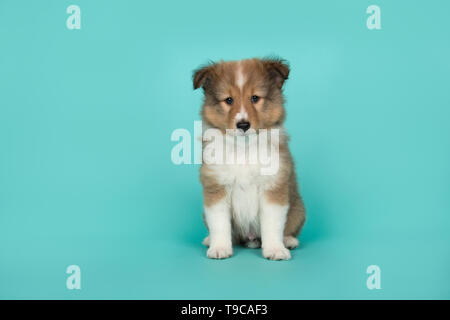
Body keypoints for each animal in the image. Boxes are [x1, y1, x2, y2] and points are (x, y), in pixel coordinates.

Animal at [193, 58, 306, 262]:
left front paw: (275, 250)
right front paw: (220, 248)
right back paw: (209, 239)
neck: (243, 149)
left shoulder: (273, 186)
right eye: (229, 100)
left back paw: (288, 240)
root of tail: (251, 238)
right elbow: (219, 223)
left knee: (288, 228)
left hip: (298, 209)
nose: (243, 125)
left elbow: (272, 223)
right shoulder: (216, 188)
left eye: (255, 98)